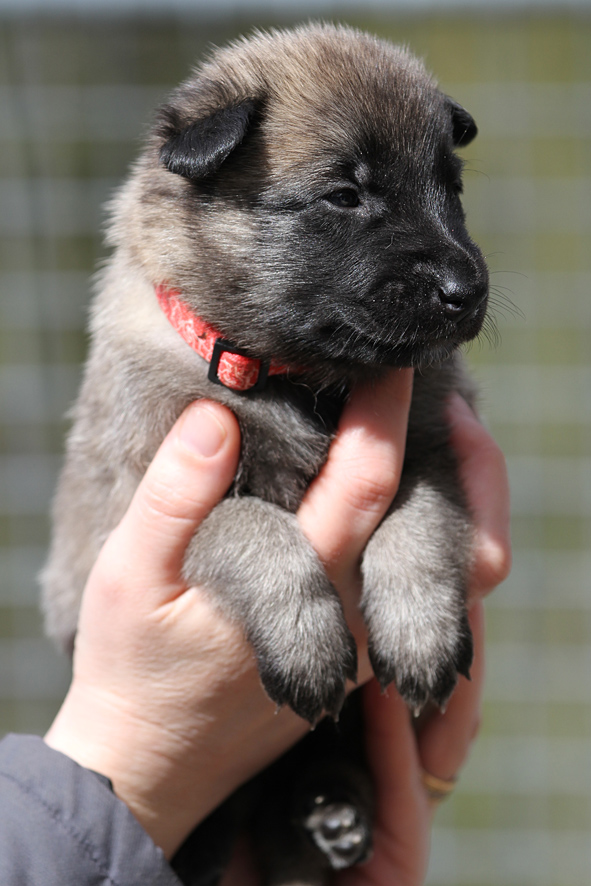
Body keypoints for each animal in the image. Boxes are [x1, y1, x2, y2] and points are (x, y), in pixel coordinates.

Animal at [40, 22, 486, 886]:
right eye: (344, 194)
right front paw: (306, 641)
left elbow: (416, 528)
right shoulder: (144, 508)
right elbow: (252, 529)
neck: (297, 382)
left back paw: (330, 812)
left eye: (450, 188)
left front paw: (418, 632)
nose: (465, 290)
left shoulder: (431, 451)